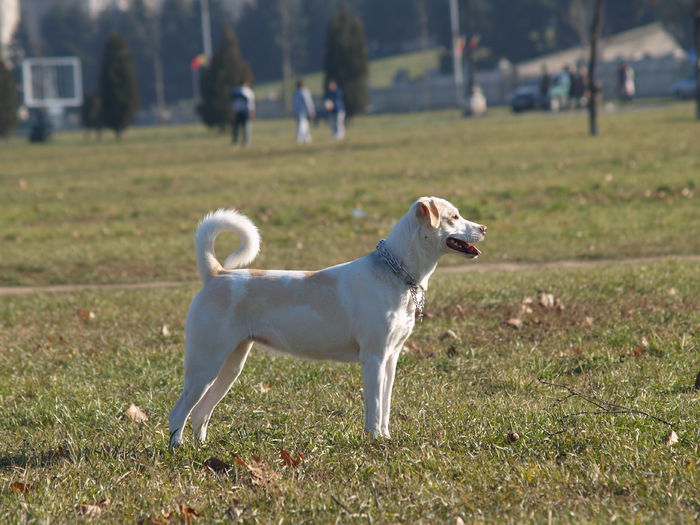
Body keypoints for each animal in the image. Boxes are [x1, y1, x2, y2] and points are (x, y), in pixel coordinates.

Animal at [170, 198, 486, 446]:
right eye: (454, 216)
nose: (483, 229)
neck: (395, 274)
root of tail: (216, 274)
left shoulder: (391, 358)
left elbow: (385, 406)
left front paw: (385, 438)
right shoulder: (373, 358)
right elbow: (374, 406)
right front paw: (374, 440)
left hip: (230, 366)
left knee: (200, 412)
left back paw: (200, 448)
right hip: (204, 364)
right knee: (179, 412)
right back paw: (178, 449)